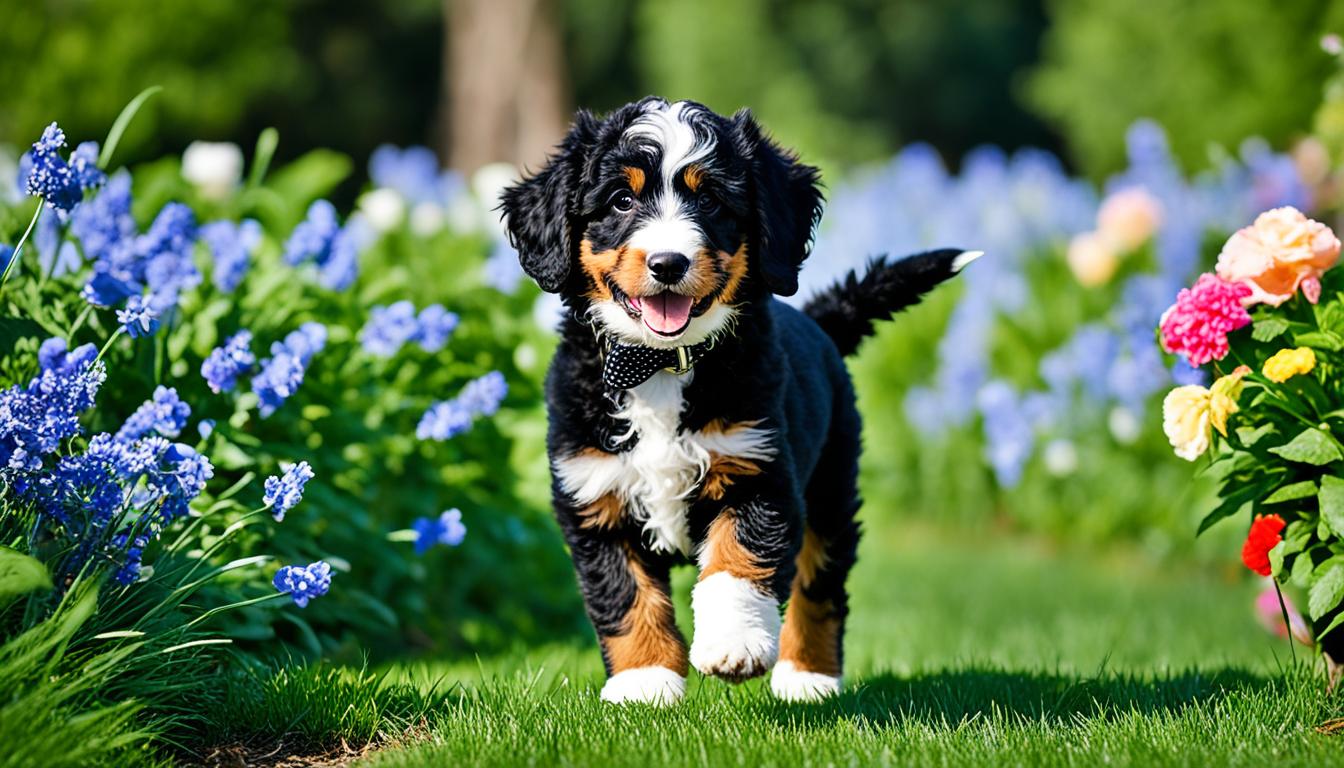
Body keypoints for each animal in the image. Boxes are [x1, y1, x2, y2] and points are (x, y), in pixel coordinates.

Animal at [499, 94, 973, 704]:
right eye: (622, 200)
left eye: (711, 201)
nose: (668, 263)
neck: (662, 366)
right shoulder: (595, 494)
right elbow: (625, 595)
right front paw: (644, 681)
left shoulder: (758, 470)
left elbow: (737, 562)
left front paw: (734, 645)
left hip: (831, 487)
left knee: (821, 583)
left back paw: (809, 676)